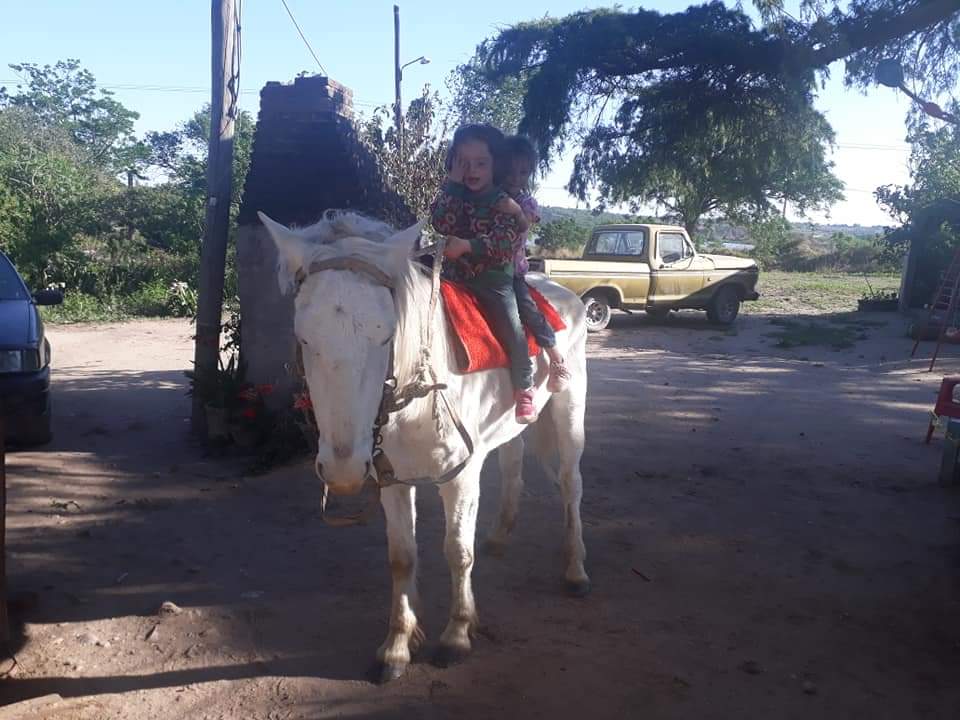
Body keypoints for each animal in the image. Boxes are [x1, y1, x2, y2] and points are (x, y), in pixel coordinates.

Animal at [258, 211, 588, 684]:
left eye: (385, 336)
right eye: (303, 338)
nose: (343, 472)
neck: (418, 395)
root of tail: (563, 294)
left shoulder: (461, 477)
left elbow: (457, 551)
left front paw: (457, 635)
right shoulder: (390, 478)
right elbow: (402, 557)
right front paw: (397, 646)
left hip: (569, 410)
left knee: (570, 485)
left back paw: (576, 570)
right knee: (513, 466)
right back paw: (500, 535)